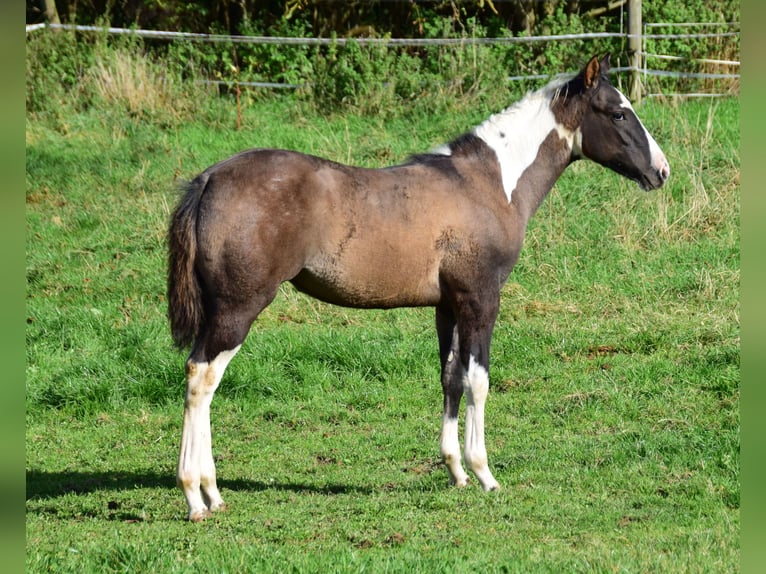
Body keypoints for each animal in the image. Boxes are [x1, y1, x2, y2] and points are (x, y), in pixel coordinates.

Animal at [170, 54, 672, 520]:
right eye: (619, 113)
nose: (662, 171)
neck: (491, 185)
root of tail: (209, 178)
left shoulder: (448, 306)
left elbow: (450, 377)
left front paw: (456, 472)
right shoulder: (480, 300)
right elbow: (478, 381)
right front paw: (484, 473)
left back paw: (213, 493)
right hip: (238, 308)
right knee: (202, 377)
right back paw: (196, 495)